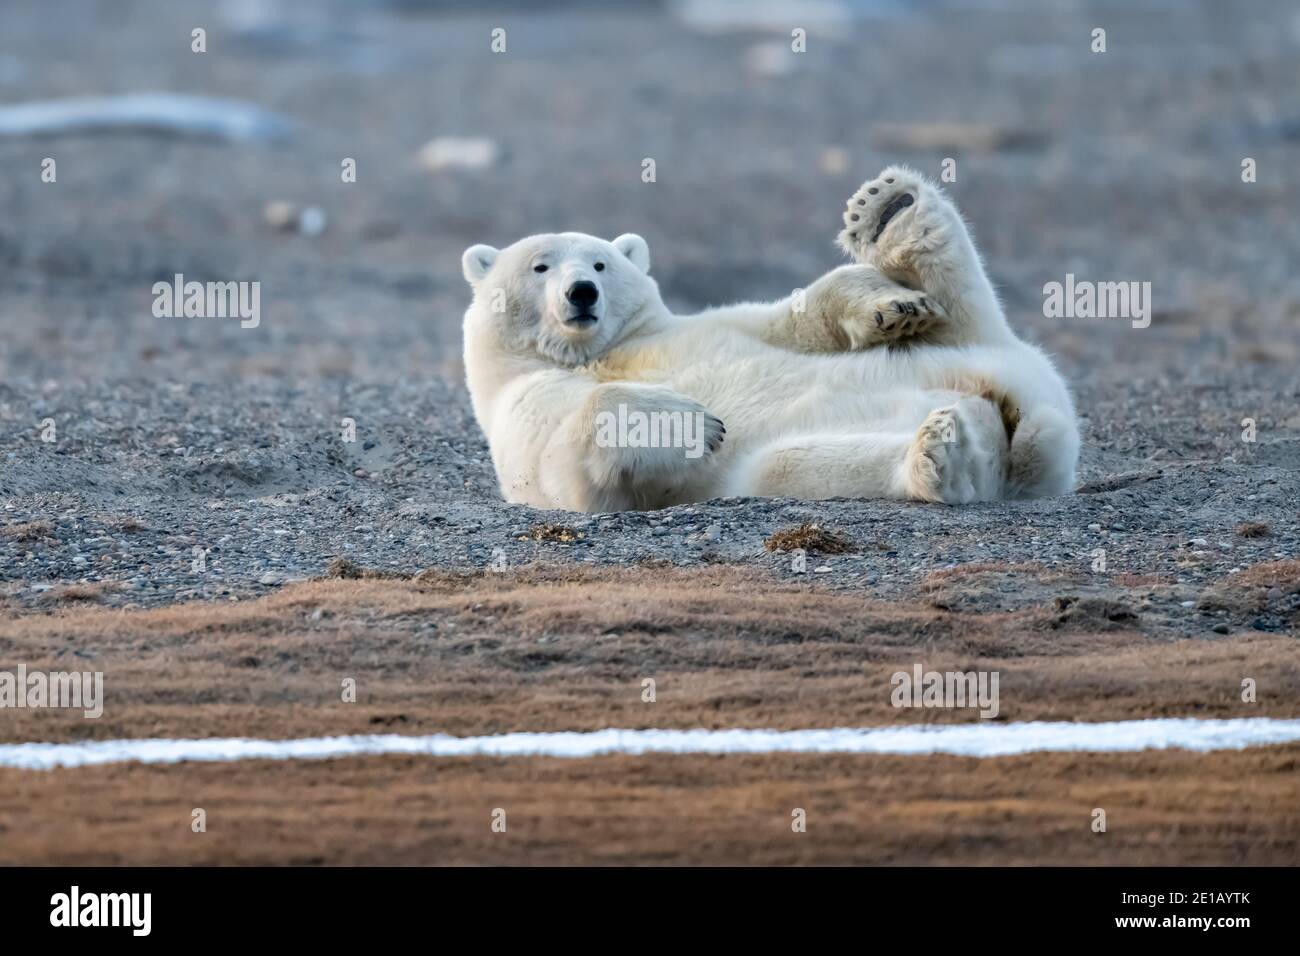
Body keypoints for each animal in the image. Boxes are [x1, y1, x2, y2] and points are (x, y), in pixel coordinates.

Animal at [461, 166, 1080, 513]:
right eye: (541, 266)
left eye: (601, 263)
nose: (583, 292)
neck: (599, 353)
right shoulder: (522, 408)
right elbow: (566, 459)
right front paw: (691, 422)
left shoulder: (694, 328)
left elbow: (788, 318)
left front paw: (890, 307)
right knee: (801, 464)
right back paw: (942, 454)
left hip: (974, 356)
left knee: (965, 313)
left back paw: (892, 211)